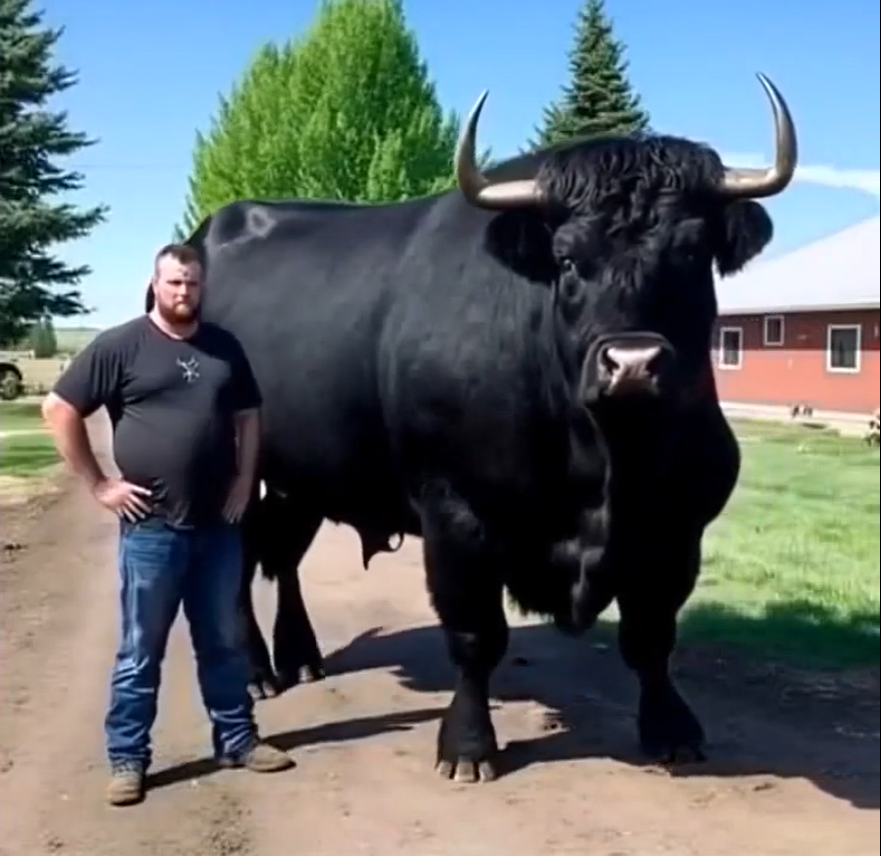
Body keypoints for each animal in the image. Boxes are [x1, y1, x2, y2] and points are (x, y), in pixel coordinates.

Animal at [156, 72, 797, 784]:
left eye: (690, 252)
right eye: (566, 259)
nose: (633, 365)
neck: (604, 467)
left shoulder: (677, 524)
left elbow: (652, 636)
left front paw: (671, 729)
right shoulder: (456, 513)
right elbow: (475, 635)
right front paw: (467, 745)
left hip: (304, 477)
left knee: (281, 556)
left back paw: (299, 657)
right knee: (239, 563)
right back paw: (255, 671)